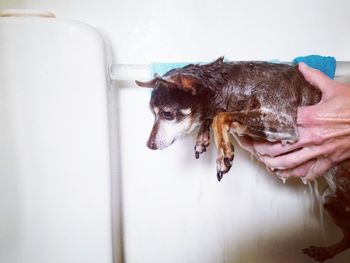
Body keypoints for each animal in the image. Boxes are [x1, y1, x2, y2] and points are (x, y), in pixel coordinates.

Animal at [136, 57, 350, 262]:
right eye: (153, 114)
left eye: (167, 113)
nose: (149, 145)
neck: (239, 85)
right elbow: (215, 116)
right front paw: (202, 137)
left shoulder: (283, 122)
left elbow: (221, 116)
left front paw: (223, 153)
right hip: (329, 200)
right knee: (347, 239)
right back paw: (325, 251)